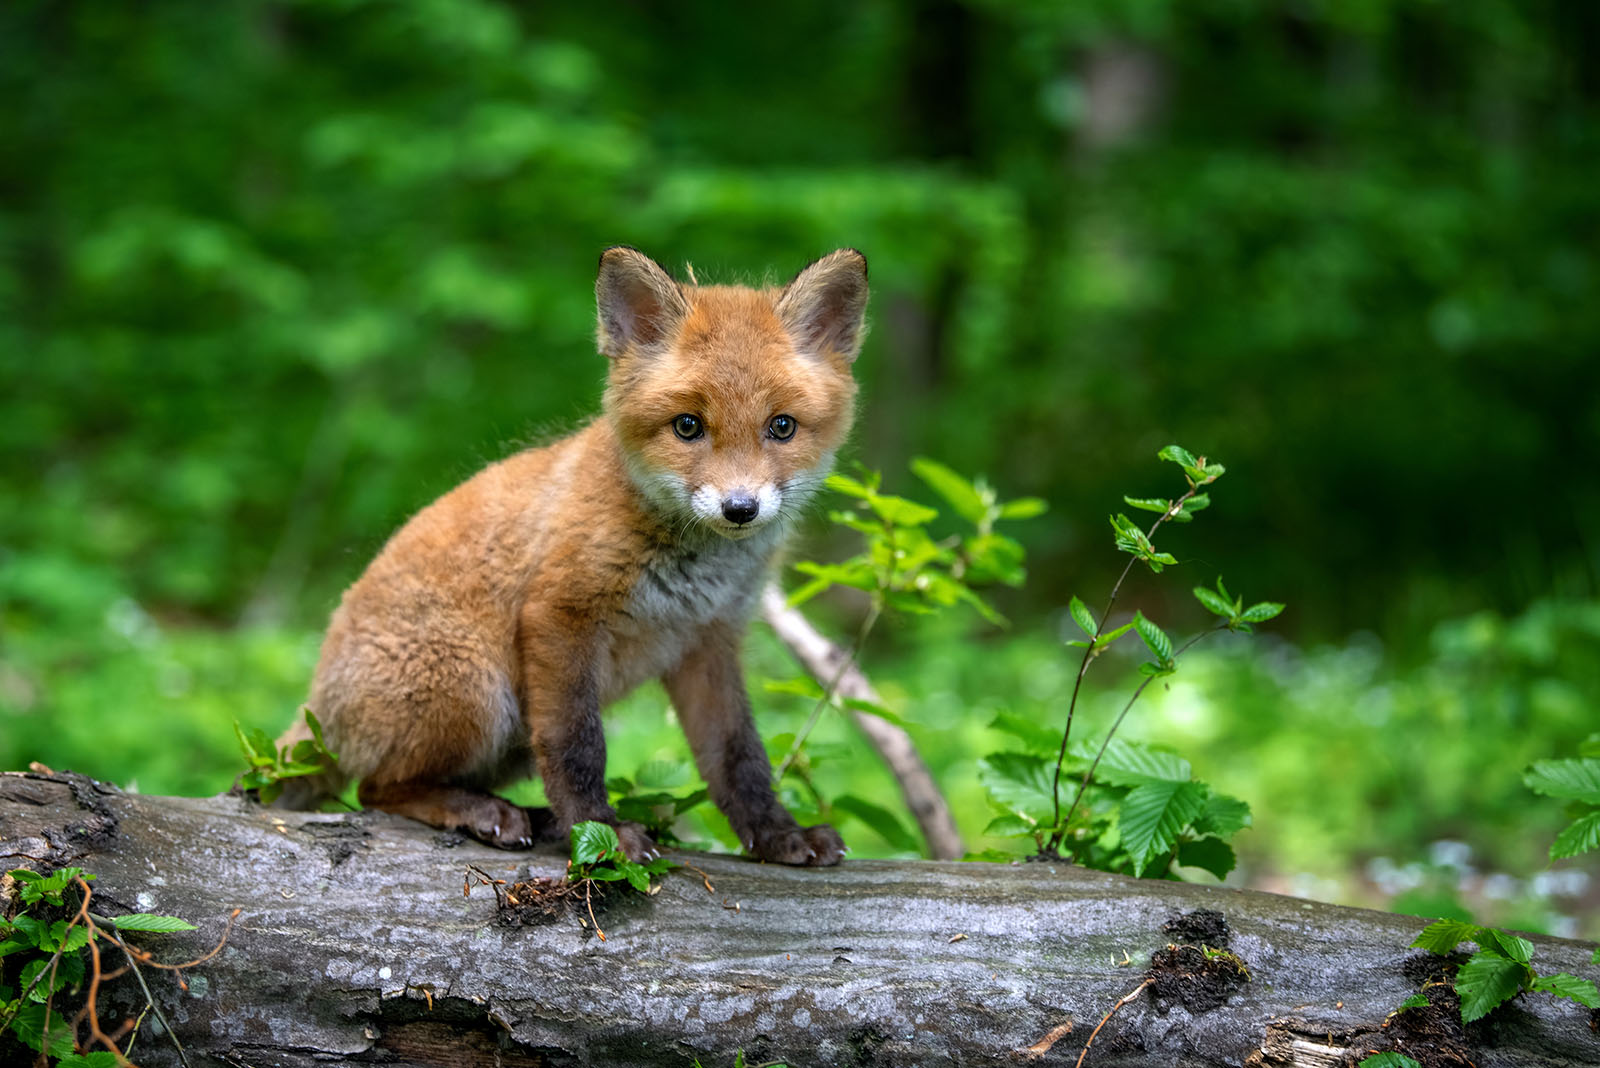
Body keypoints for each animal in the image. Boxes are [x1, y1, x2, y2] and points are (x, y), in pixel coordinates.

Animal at [281, 247, 870, 869]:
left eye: (781, 426)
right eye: (688, 426)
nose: (740, 508)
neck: (694, 572)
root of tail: (318, 696)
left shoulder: (708, 641)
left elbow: (739, 758)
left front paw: (778, 835)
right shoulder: (560, 615)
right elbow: (578, 747)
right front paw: (601, 835)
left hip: (509, 734)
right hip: (479, 696)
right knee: (376, 789)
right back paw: (484, 812)